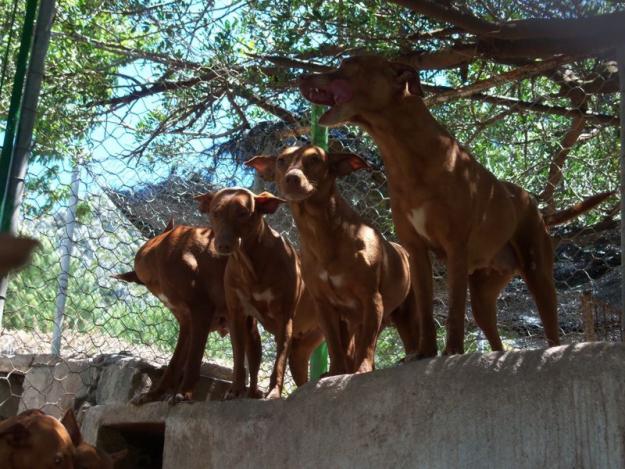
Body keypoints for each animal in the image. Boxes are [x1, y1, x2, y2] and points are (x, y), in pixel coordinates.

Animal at [195, 188, 322, 396]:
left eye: (243, 213)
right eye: (216, 212)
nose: (223, 245)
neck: (251, 266)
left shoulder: (284, 319)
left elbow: (278, 363)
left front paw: (274, 393)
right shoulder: (238, 316)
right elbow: (239, 359)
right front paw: (236, 390)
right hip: (299, 351)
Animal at [246, 145, 416, 372]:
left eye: (315, 159)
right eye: (281, 160)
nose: (292, 178)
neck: (322, 234)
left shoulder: (372, 299)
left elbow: (367, 347)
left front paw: (361, 370)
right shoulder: (324, 306)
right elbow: (335, 347)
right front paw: (335, 372)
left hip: (406, 315)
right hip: (355, 323)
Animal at [300, 54, 612, 354]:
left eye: (347, 63)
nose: (303, 76)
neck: (407, 157)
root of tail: (533, 204)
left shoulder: (456, 247)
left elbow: (453, 310)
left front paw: (452, 350)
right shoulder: (416, 250)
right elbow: (426, 310)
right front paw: (424, 352)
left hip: (539, 275)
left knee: (551, 330)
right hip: (484, 292)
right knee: (495, 337)